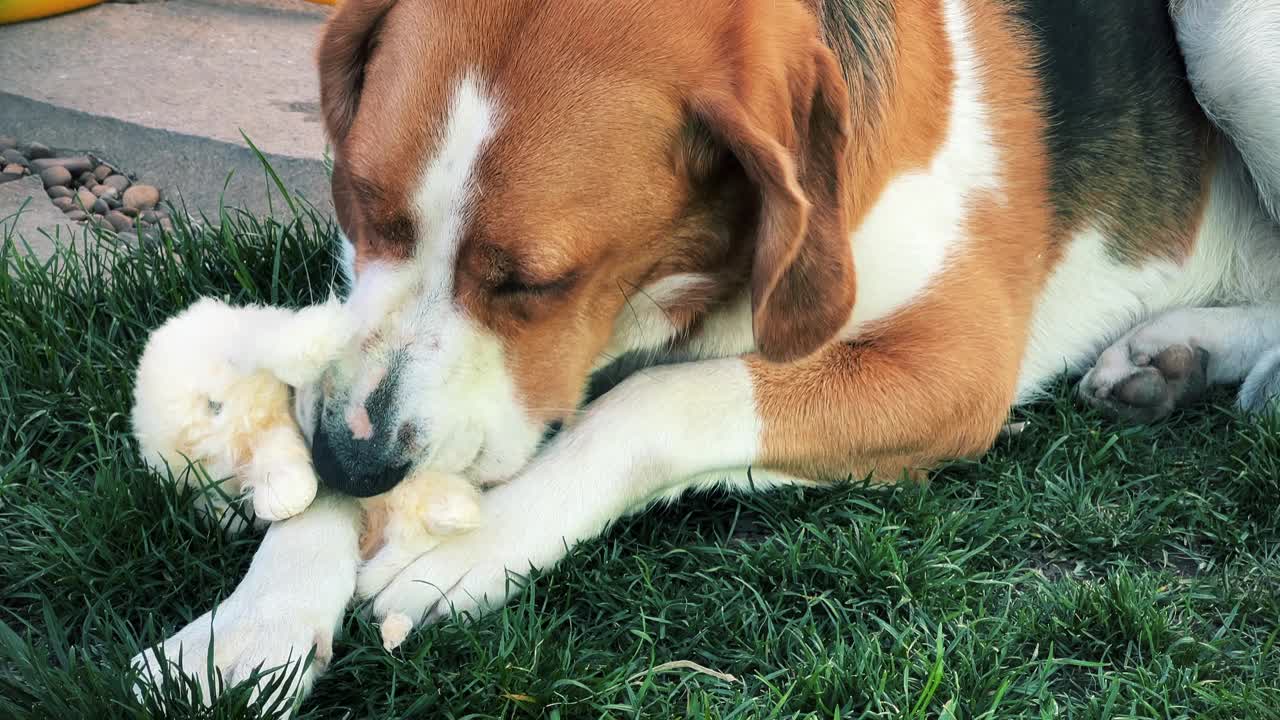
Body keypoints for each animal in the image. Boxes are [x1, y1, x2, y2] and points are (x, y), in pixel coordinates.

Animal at [132, 0, 1280, 707]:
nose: (354, 460)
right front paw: (249, 623)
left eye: (531, 283)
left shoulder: (954, 366)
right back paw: (1173, 355)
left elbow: (655, 403)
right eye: (361, 206)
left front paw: (465, 548)